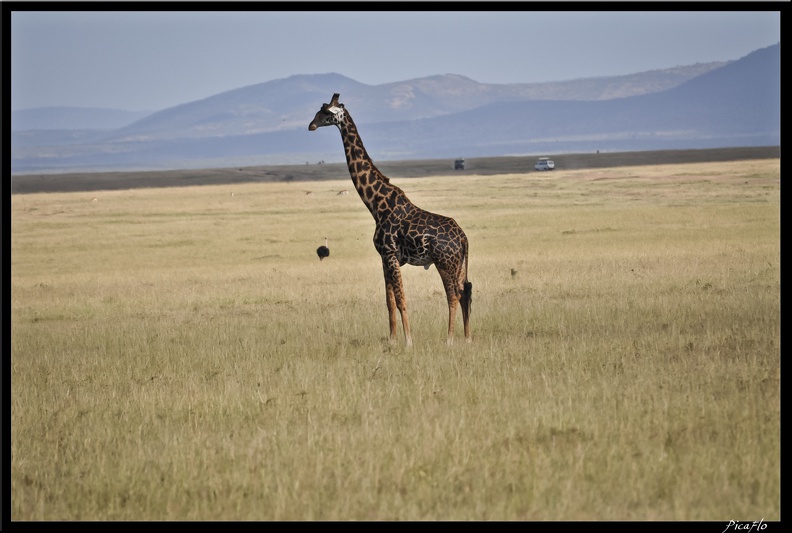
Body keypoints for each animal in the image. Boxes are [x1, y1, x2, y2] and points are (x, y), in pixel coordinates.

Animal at [308, 93, 470, 348]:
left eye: (325, 112)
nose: (311, 125)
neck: (376, 204)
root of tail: (463, 238)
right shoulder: (384, 258)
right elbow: (389, 301)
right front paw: (393, 340)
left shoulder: (391, 255)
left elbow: (402, 300)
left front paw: (409, 341)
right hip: (459, 263)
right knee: (465, 293)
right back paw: (467, 337)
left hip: (445, 263)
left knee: (454, 295)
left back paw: (449, 339)